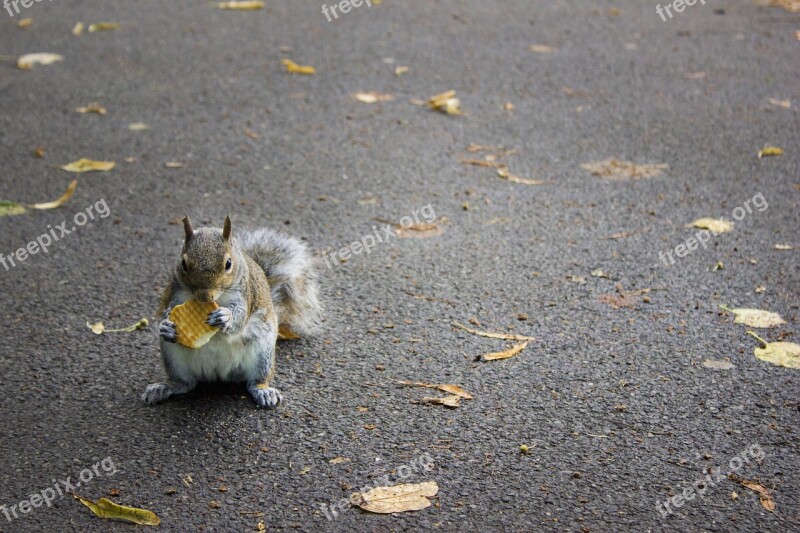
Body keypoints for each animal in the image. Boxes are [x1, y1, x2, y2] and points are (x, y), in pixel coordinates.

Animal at [142, 216, 320, 408]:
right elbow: (165, 312)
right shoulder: (174, 294)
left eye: (228, 263)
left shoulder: (245, 294)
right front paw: (166, 326)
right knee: (185, 383)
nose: (205, 297)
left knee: (255, 380)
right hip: (173, 359)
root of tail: (218, 374)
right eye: (183, 263)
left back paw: (264, 390)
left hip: (262, 354)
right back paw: (163, 388)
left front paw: (225, 317)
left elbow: (240, 317)